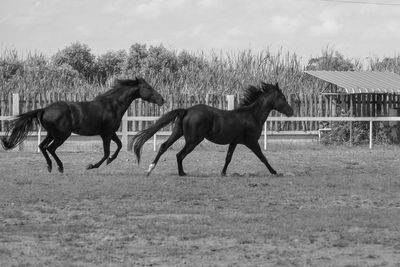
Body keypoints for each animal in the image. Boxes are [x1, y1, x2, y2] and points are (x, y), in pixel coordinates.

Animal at [1, 77, 164, 174]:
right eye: (148, 87)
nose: (162, 100)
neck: (112, 105)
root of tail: (44, 109)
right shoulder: (105, 134)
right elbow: (106, 152)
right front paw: (91, 166)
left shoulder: (111, 133)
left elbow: (119, 146)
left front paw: (110, 160)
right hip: (62, 135)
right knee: (50, 148)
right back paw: (60, 167)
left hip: (51, 134)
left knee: (42, 146)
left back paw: (50, 166)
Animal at [133, 82, 292, 178]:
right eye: (282, 98)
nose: (291, 111)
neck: (252, 115)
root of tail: (187, 110)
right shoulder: (252, 142)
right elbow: (263, 157)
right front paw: (275, 172)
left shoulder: (234, 142)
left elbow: (228, 157)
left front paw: (223, 173)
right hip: (193, 140)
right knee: (179, 154)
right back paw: (181, 173)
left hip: (178, 133)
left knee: (164, 146)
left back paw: (150, 169)